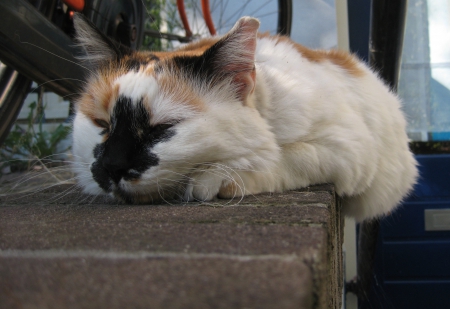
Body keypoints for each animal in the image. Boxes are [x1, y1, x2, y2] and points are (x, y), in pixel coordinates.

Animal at [71, 14, 418, 221]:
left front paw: (216, 177)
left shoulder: (348, 149)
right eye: (102, 124)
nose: (112, 165)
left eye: (161, 129)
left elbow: (280, 156)